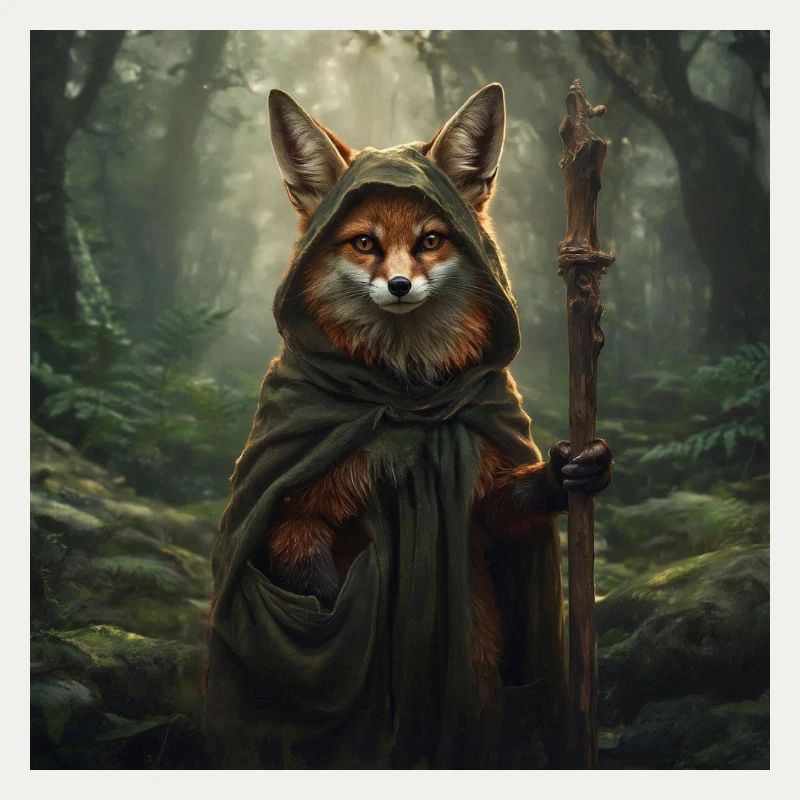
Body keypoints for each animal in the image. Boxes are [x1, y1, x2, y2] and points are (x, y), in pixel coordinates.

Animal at [264, 84, 613, 708]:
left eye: (430, 240)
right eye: (364, 243)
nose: (400, 286)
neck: (404, 396)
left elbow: (502, 506)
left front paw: (572, 471)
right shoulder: (295, 503)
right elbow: (312, 576)